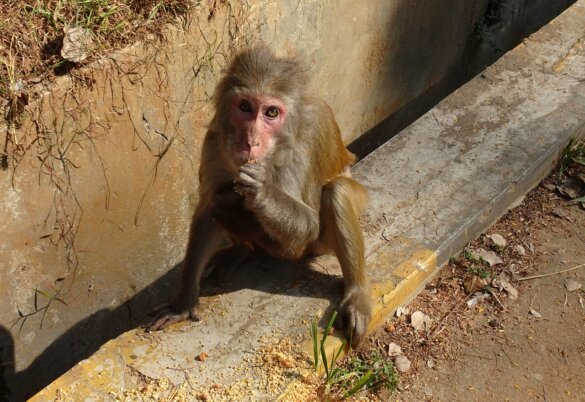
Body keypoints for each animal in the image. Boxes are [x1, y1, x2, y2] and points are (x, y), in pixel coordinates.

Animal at [149, 44, 370, 346]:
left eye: (272, 113)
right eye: (245, 107)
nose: (250, 140)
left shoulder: (298, 153)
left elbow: (308, 227)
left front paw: (261, 190)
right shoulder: (215, 140)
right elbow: (206, 208)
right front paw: (182, 301)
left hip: (328, 236)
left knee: (337, 193)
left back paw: (356, 293)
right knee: (221, 202)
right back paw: (240, 247)